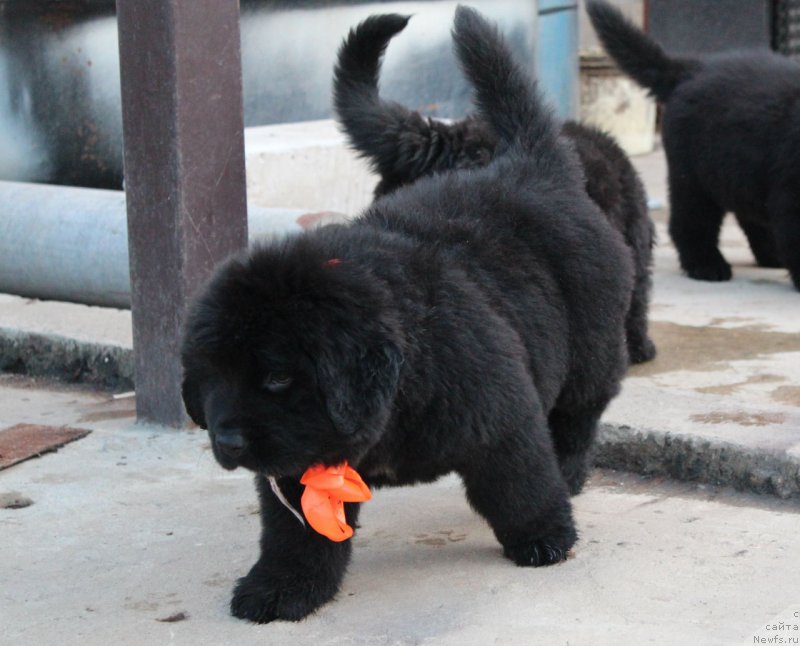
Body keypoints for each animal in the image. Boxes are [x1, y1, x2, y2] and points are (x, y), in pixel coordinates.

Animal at [584, 0, 800, 288]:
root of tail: (689, 70)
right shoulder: (790, 193)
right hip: (693, 176)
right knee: (691, 221)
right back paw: (707, 265)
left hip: (740, 171)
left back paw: (771, 255)